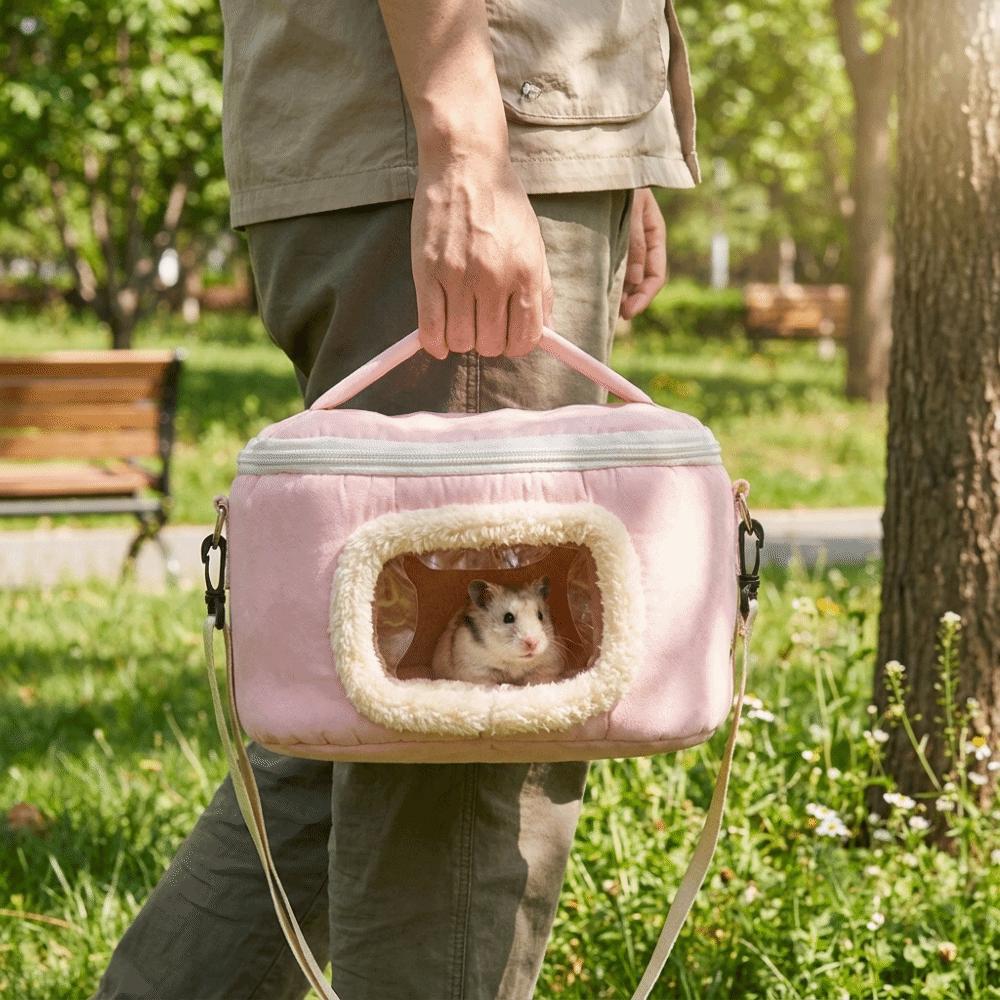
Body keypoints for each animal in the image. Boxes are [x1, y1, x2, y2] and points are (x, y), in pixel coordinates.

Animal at [431, 576, 565, 686]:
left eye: (540, 615)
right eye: (508, 617)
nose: (532, 643)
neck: (515, 662)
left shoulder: (546, 667)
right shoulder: (476, 670)